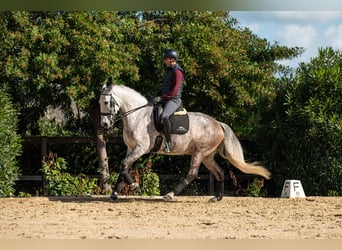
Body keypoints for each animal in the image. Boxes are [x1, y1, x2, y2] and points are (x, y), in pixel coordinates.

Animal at [99, 83, 272, 202]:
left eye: (106, 103)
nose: (105, 124)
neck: (137, 116)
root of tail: (218, 124)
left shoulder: (141, 148)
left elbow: (124, 165)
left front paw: (134, 186)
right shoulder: (130, 148)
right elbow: (124, 167)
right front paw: (114, 194)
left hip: (199, 152)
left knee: (192, 174)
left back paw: (170, 194)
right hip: (207, 156)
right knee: (219, 172)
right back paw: (217, 198)